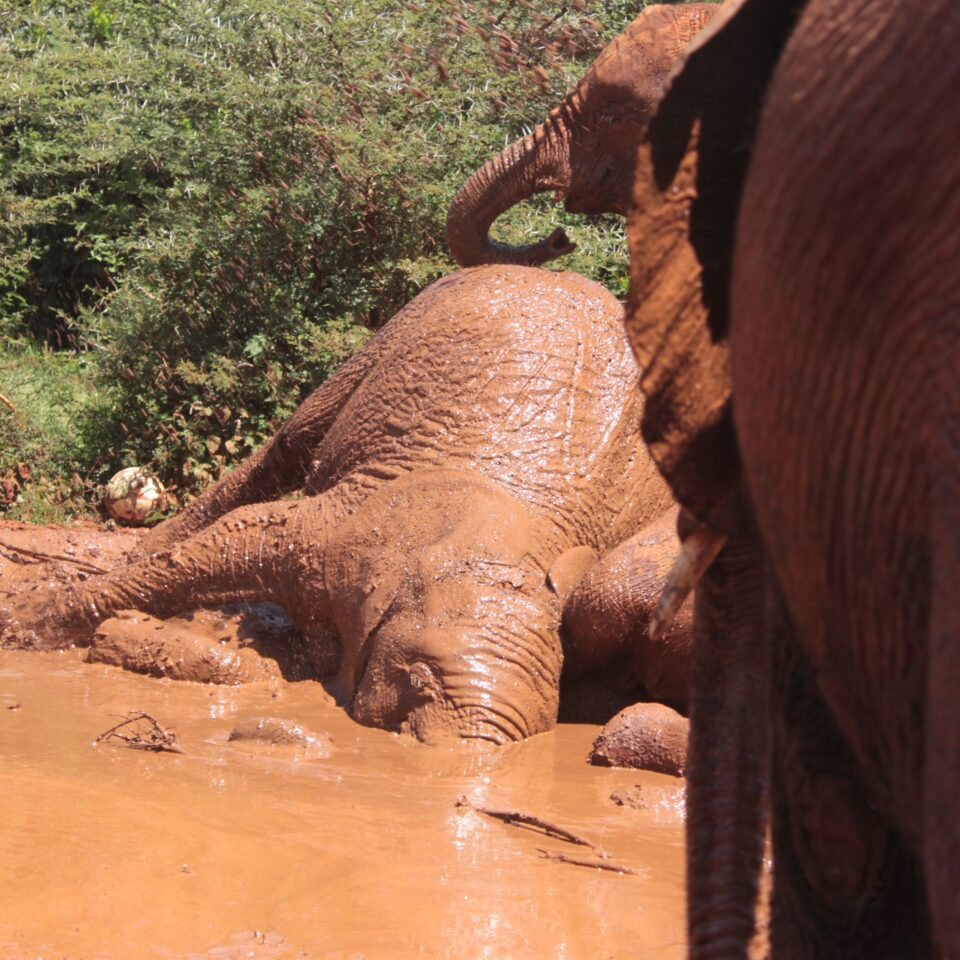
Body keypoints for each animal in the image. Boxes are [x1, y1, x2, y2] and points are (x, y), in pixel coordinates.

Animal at [0, 266, 684, 748]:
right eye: (417, 679)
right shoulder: (339, 531)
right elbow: (233, 538)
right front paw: (22, 625)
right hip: (399, 329)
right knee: (287, 445)